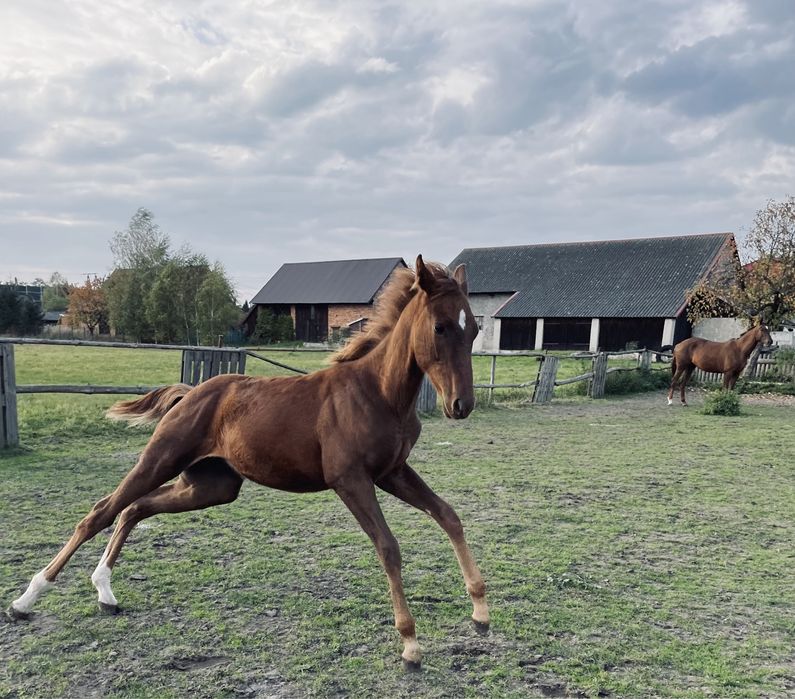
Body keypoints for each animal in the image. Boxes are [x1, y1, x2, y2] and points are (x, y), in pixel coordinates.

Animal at [9, 258, 488, 672]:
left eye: (474, 329)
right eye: (440, 326)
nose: (461, 405)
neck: (378, 392)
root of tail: (191, 392)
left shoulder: (392, 472)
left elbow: (449, 515)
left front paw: (481, 612)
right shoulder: (351, 479)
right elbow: (389, 547)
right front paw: (410, 645)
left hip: (211, 486)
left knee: (134, 508)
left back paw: (105, 592)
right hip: (160, 460)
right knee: (100, 511)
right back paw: (24, 602)